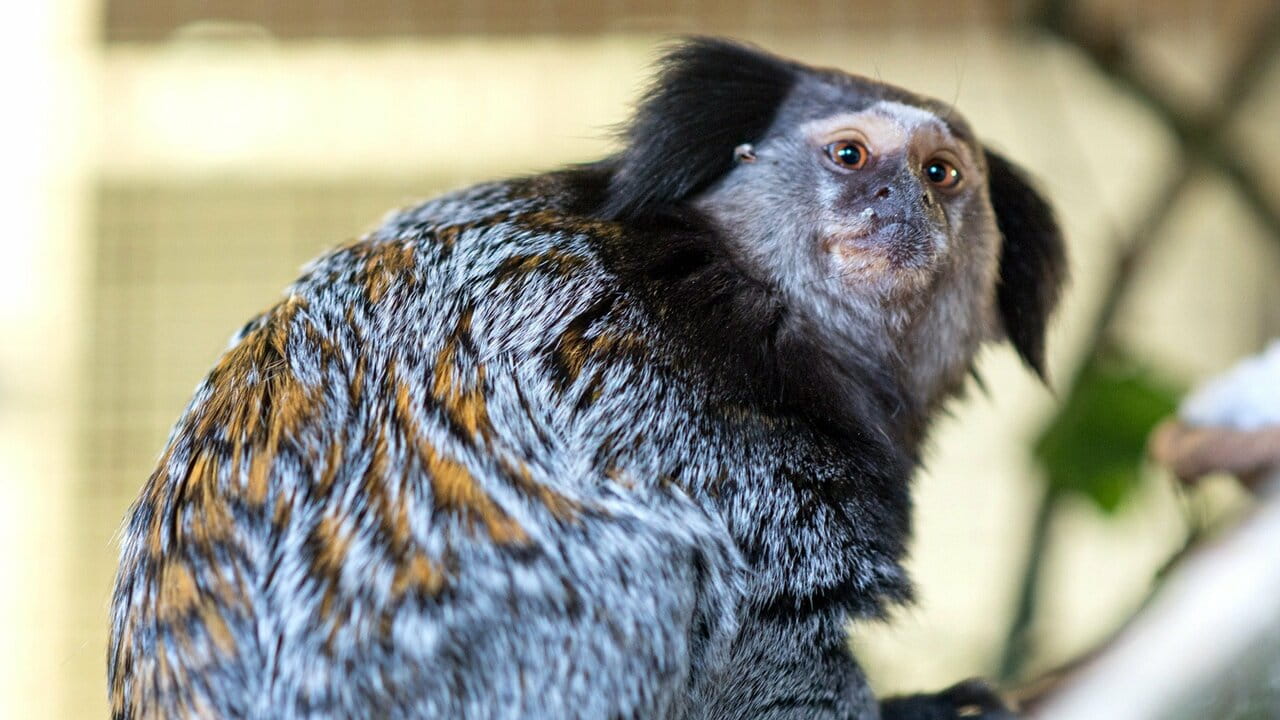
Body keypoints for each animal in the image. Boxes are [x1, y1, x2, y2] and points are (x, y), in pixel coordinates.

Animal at [107, 38, 1065, 720]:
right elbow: (761, 637)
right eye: (852, 156)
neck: (741, 291)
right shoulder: (677, 420)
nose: (902, 203)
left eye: (942, 173)